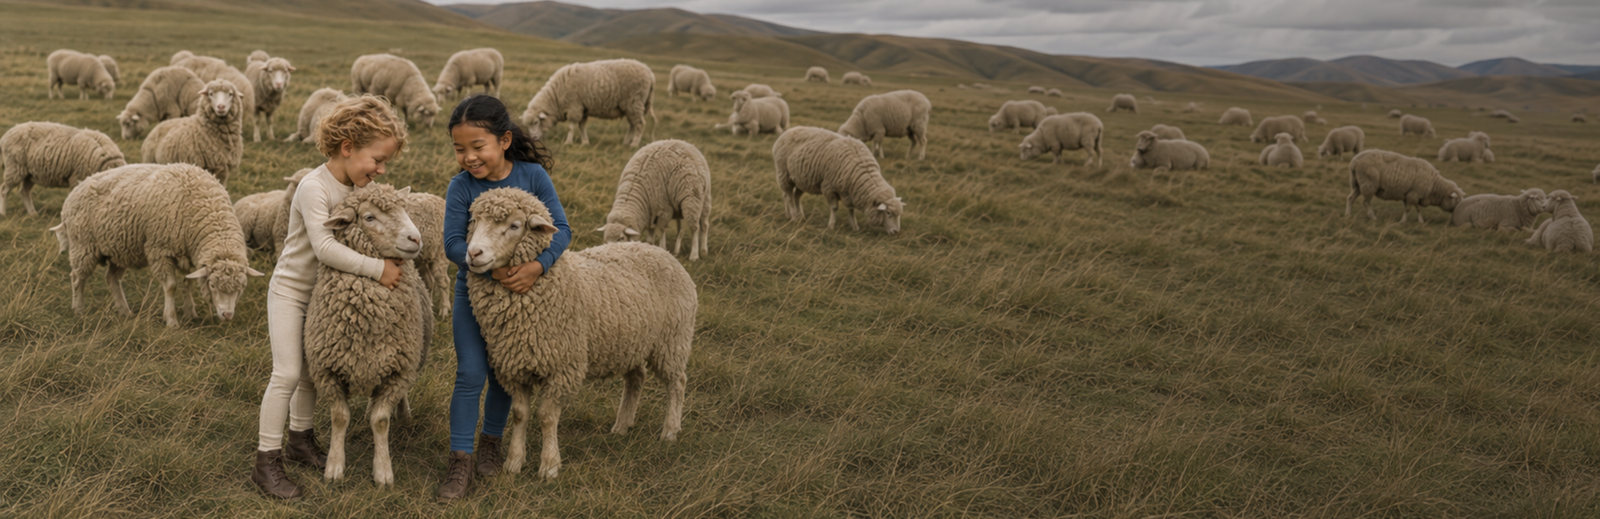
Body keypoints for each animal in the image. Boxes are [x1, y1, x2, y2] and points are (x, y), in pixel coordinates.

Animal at [55, 163, 264, 327]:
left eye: (242, 287)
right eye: (212, 285)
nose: (227, 315)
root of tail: (76, 189)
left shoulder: (187, 252)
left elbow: (187, 282)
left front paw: (190, 312)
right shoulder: (160, 250)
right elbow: (171, 286)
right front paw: (171, 320)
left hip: (119, 248)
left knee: (112, 279)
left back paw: (125, 311)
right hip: (83, 245)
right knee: (77, 277)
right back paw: (79, 309)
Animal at [303, 183, 430, 486]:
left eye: (405, 209)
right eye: (369, 217)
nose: (416, 238)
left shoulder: (398, 371)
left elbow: (380, 421)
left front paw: (383, 472)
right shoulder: (327, 370)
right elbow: (340, 418)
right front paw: (334, 468)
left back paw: (404, 415)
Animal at [462, 188, 696, 479]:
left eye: (514, 226)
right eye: (474, 221)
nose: (474, 253)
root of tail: (661, 252)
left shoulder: (562, 367)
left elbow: (547, 417)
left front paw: (549, 466)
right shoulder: (515, 367)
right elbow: (519, 414)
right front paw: (514, 462)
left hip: (672, 340)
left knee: (677, 382)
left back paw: (670, 432)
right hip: (631, 341)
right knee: (636, 378)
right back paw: (622, 426)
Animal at [520, 58, 656, 147]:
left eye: (536, 122)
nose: (533, 139)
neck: (556, 96)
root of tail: (650, 73)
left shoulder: (574, 106)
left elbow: (571, 127)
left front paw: (568, 142)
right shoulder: (583, 108)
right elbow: (582, 126)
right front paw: (585, 142)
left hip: (634, 102)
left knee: (640, 124)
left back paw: (634, 144)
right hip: (630, 106)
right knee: (633, 124)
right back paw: (626, 142)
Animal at [774, 126, 904, 234]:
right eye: (888, 213)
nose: (896, 232)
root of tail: (787, 131)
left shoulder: (850, 192)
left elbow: (851, 209)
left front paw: (855, 226)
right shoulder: (828, 187)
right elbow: (834, 208)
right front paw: (831, 225)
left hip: (802, 180)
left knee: (795, 196)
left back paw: (798, 215)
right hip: (784, 174)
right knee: (788, 196)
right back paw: (793, 216)